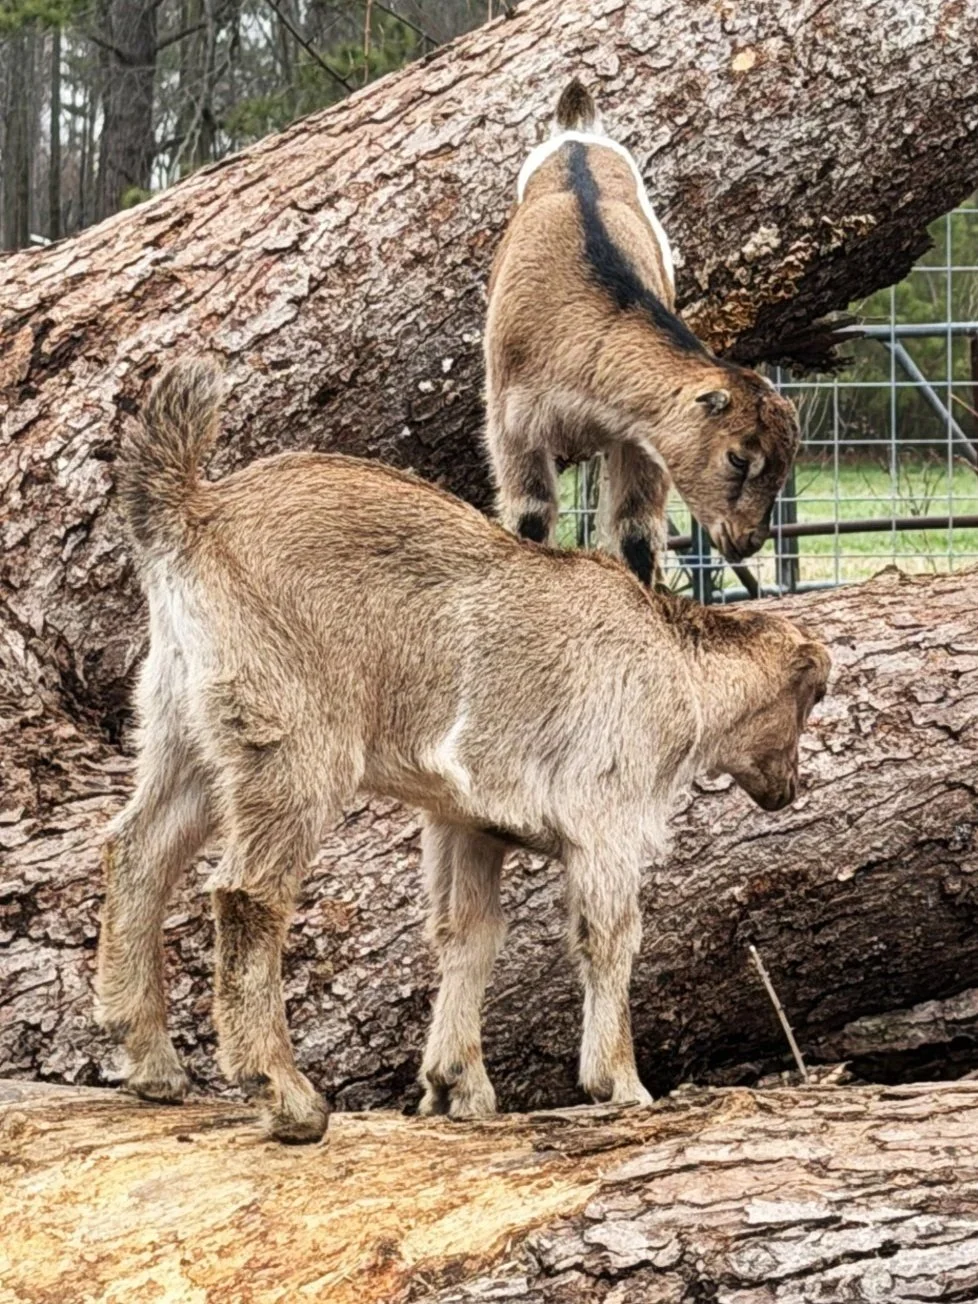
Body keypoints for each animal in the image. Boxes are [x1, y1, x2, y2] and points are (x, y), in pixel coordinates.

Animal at [96, 360, 829, 1142]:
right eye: (811, 699)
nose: (788, 787)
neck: (674, 663)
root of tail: (190, 512)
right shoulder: (605, 819)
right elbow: (610, 935)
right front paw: (619, 1082)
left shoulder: (469, 822)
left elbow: (468, 934)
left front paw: (457, 1086)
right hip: (289, 740)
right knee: (246, 893)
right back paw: (286, 1094)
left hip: (184, 729)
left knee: (139, 852)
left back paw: (152, 1065)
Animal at [485, 78, 801, 586]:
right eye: (739, 457)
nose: (748, 539)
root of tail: (578, 133)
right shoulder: (512, 424)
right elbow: (530, 516)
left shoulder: (637, 439)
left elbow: (634, 530)